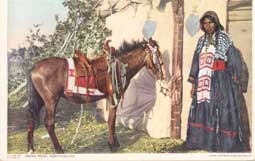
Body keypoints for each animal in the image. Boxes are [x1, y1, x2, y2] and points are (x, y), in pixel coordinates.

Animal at [26, 38, 165, 153]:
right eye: (157, 56)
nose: (162, 75)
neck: (120, 67)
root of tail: (34, 68)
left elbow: (112, 120)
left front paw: (114, 143)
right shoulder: (113, 98)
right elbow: (111, 121)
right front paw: (112, 145)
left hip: (40, 100)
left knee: (31, 120)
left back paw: (31, 148)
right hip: (51, 101)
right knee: (49, 123)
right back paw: (59, 150)